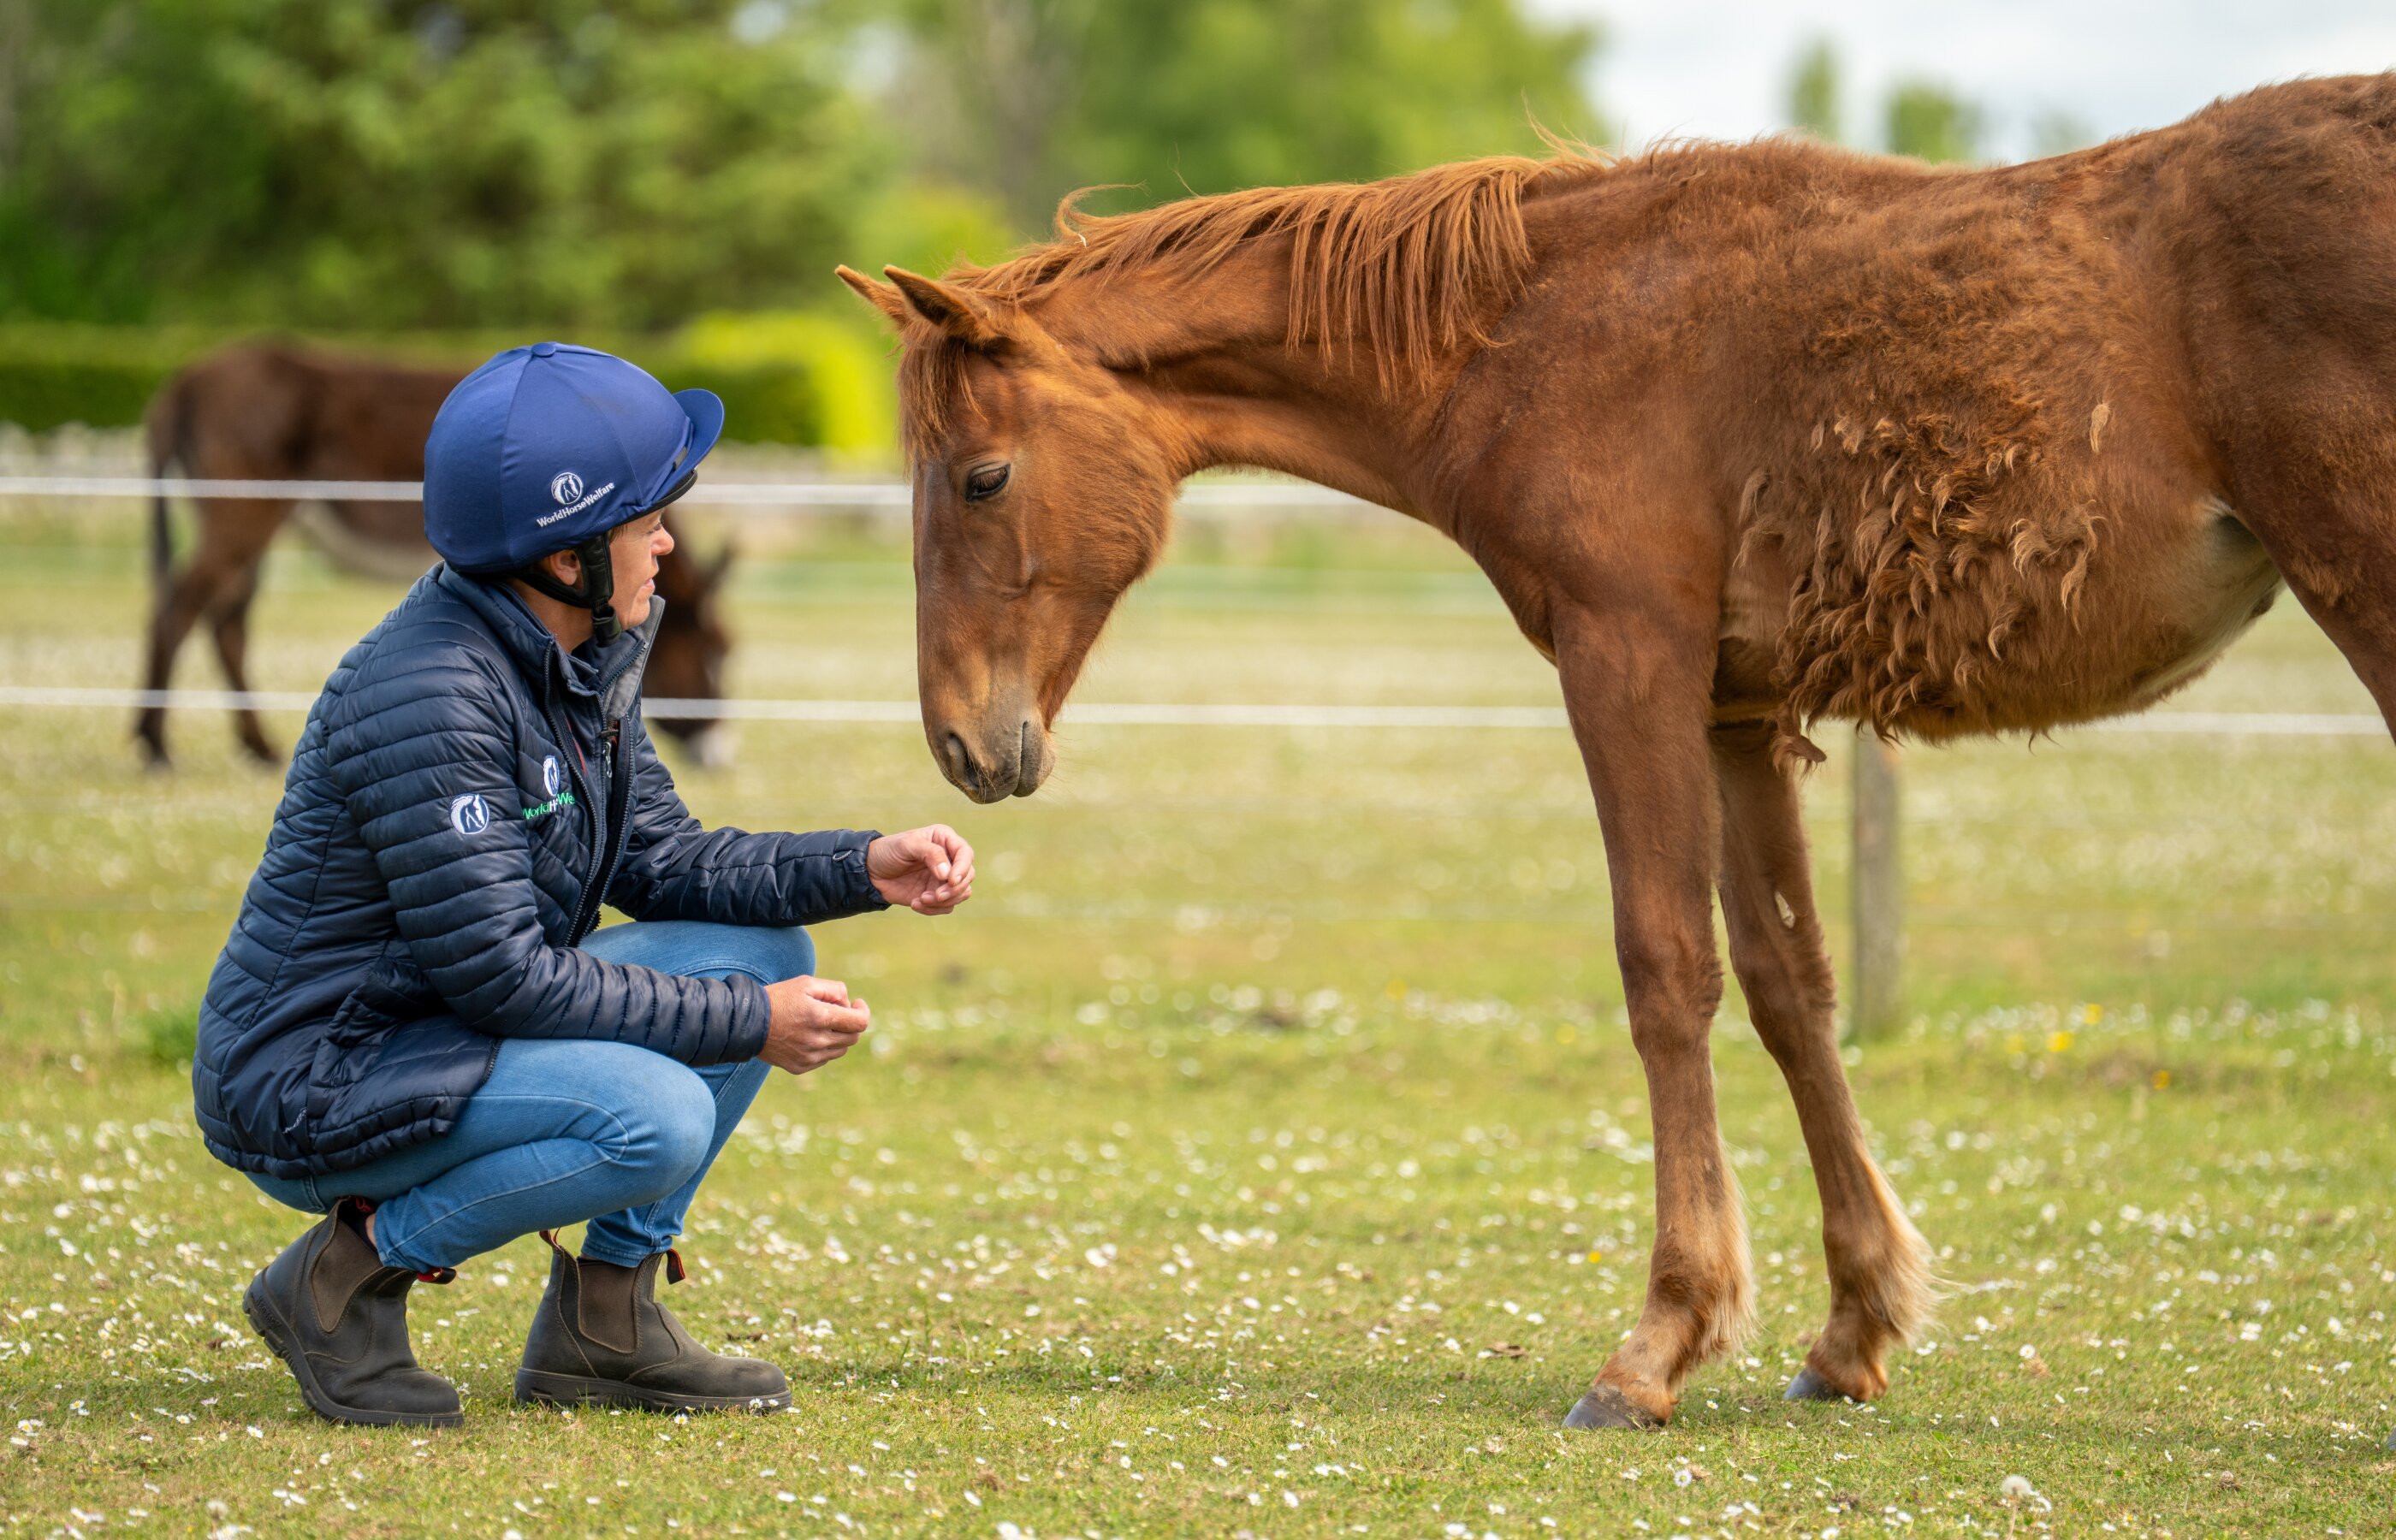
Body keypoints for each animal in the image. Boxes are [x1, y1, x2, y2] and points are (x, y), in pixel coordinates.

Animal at [137, 343, 735, 768]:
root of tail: (185, 381)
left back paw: (254, 746)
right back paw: (156, 747)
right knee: (180, 610)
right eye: (714, 651)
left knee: (225, 622)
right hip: (244, 515)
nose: (721, 752)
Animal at [836, 72, 2396, 1434]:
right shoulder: (1736, 713)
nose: (964, 742)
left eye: (981, 478)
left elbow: (1666, 969)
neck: (1531, 332)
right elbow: (1787, 986)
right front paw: (1853, 1329)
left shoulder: (1625, 664)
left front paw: (1656, 1347)